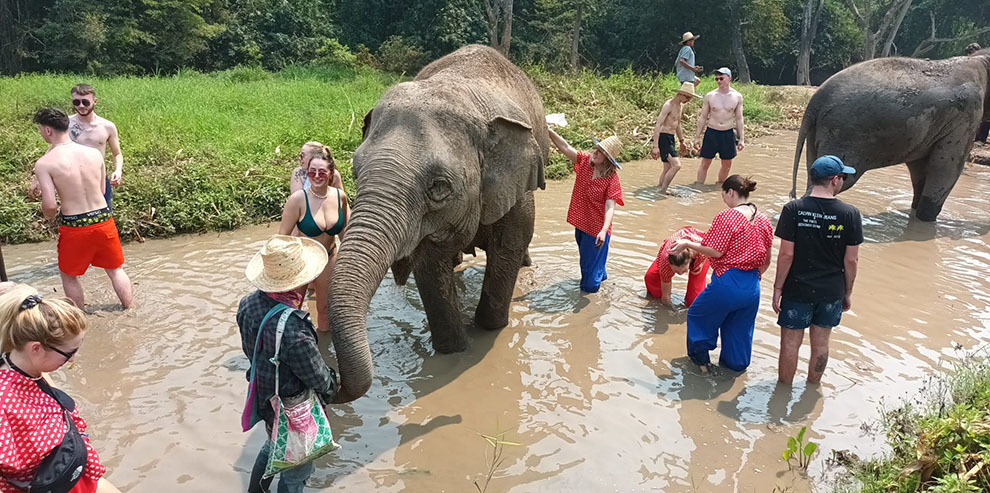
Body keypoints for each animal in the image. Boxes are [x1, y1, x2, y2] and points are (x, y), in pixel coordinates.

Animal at [332, 44, 552, 402]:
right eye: (354, 171)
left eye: (438, 187)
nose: (333, 385)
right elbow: (429, 264)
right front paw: (453, 349)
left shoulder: (515, 191)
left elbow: (508, 247)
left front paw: (489, 328)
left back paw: (525, 265)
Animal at [796, 49, 990, 220]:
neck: (980, 59)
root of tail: (815, 100)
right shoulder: (965, 117)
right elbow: (945, 166)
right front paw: (926, 221)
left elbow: (920, 168)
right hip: (842, 134)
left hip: (819, 134)